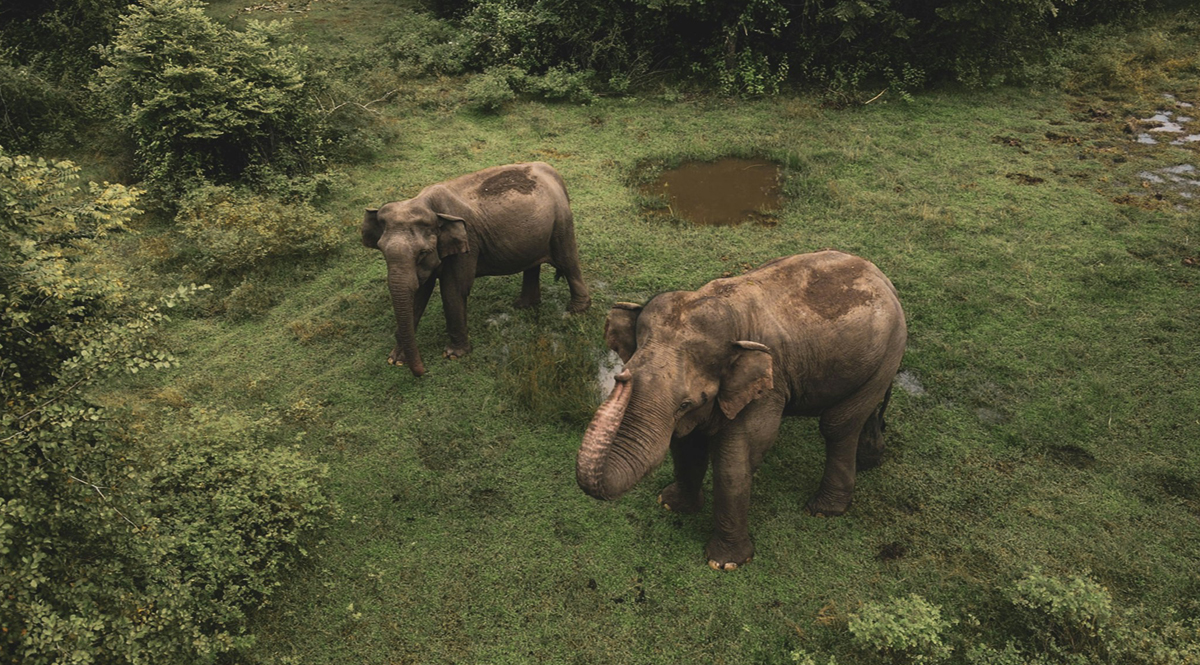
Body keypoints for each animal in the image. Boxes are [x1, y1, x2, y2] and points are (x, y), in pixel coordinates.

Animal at [362, 160, 592, 374]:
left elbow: (454, 289)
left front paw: (453, 355)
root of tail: (552, 171)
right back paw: (524, 305)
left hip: (561, 222)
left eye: (422, 253)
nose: (423, 371)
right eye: (382, 250)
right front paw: (395, 359)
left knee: (568, 261)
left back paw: (576, 311)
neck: (425, 203)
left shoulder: (467, 243)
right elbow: (419, 292)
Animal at [576, 250, 902, 566]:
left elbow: (734, 463)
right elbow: (686, 446)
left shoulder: (768, 387)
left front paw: (724, 563)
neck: (726, 307)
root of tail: (883, 278)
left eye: (686, 403)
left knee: (837, 425)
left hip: (888, 352)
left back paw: (822, 510)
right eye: (624, 371)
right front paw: (671, 505)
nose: (621, 378)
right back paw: (870, 460)